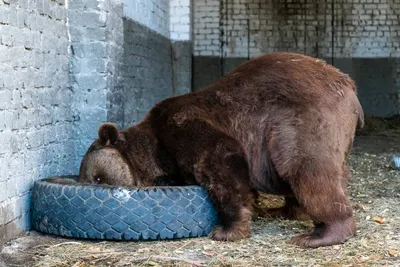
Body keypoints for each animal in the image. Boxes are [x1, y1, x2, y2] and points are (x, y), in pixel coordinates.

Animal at [77, 51, 362, 249]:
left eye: (97, 178)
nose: (86, 185)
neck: (157, 151)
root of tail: (349, 87)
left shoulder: (184, 126)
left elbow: (220, 160)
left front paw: (227, 230)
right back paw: (284, 210)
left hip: (302, 120)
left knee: (306, 169)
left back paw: (319, 234)